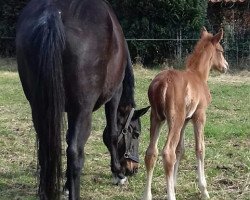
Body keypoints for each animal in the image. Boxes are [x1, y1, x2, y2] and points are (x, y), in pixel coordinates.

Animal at [16, 0, 148, 199]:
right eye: (136, 133)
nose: (133, 169)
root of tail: (53, 12)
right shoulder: (114, 96)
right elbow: (112, 134)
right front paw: (118, 173)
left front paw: (66, 185)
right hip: (82, 109)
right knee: (75, 153)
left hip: (39, 108)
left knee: (45, 150)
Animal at [143, 27, 229, 200]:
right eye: (221, 51)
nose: (226, 66)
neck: (199, 75)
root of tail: (162, 83)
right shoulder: (199, 116)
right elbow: (199, 148)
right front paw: (204, 190)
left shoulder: (185, 120)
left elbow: (180, 149)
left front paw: (173, 185)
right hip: (174, 119)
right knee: (167, 153)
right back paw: (171, 196)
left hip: (157, 118)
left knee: (151, 153)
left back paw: (148, 195)